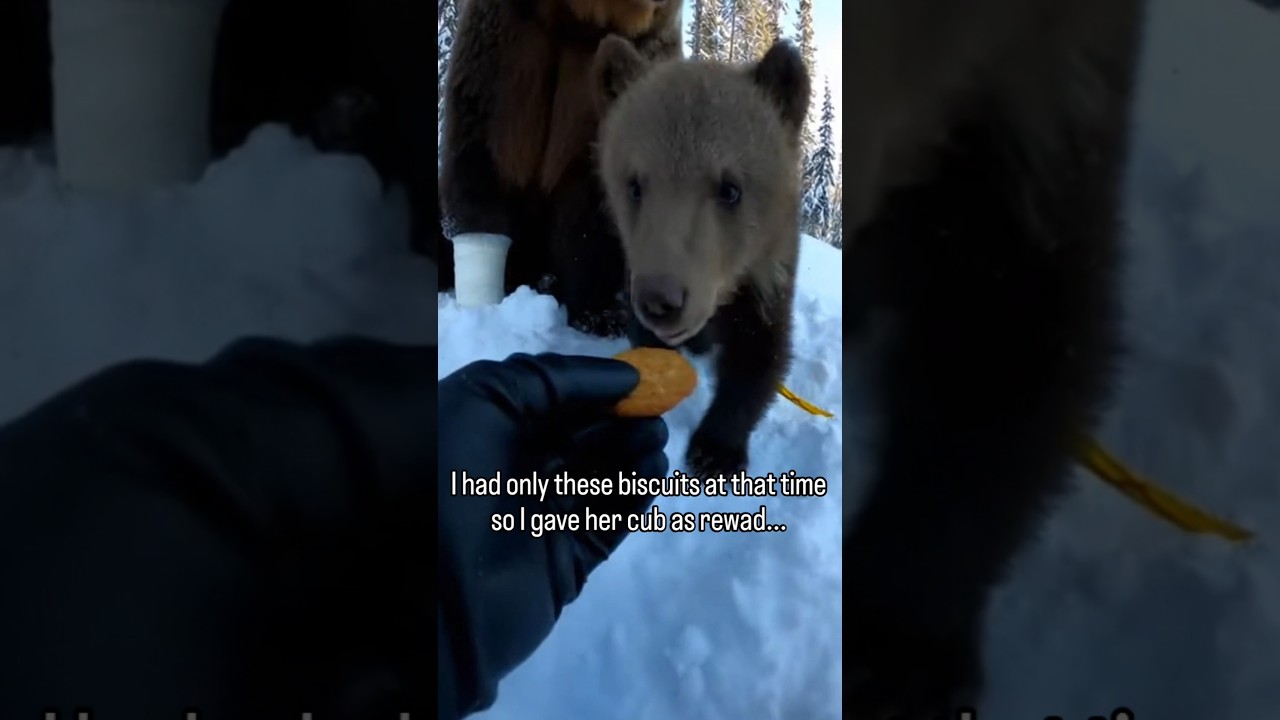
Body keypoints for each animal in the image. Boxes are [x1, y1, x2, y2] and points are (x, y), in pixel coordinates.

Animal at [438, 0, 684, 338]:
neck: (577, 21)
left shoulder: (613, 67)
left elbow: (587, 206)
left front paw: (599, 314)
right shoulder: (510, 42)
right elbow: (484, 155)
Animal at [589, 37, 810, 483]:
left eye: (731, 188)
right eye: (634, 184)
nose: (662, 300)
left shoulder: (768, 274)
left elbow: (761, 357)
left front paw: (716, 450)